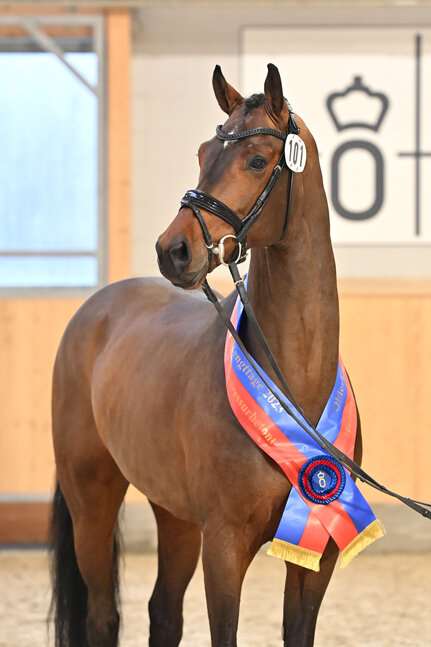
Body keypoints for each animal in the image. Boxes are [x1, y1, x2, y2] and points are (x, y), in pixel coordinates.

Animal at [50, 63, 361, 647]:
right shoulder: (224, 547)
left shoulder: (318, 556)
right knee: (102, 616)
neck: (292, 385)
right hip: (92, 503)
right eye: (202, 152)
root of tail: (96, 308)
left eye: (257, 160)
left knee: (164, 613)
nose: (173, 250)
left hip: (174, 515)